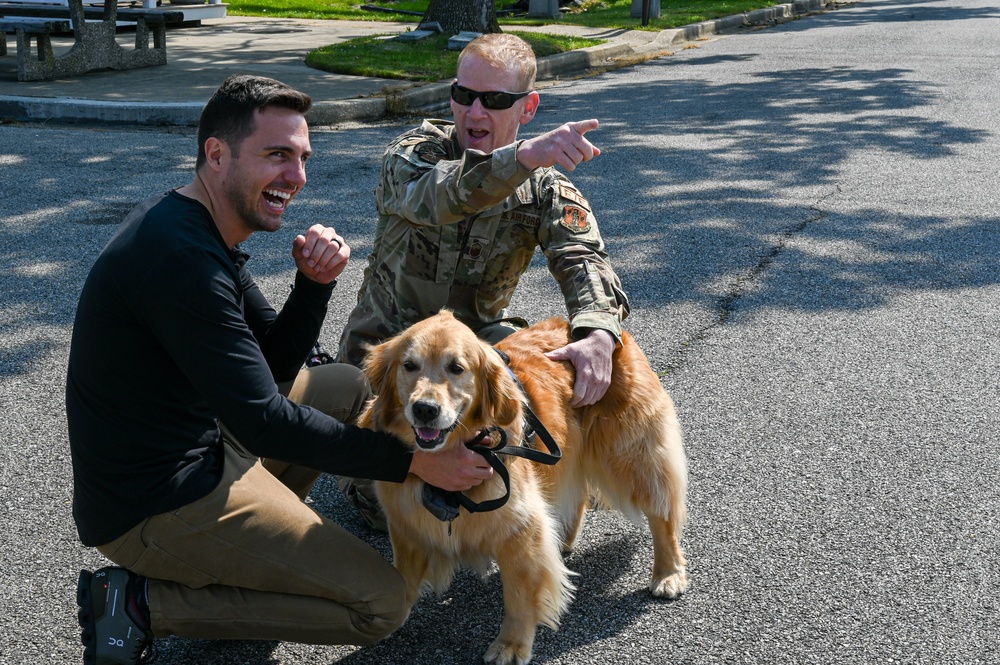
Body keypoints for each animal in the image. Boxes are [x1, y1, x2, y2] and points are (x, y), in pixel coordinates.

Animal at [360, 312, 688, 664]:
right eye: (409, 366)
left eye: (456, 368)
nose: (424, 409)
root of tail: (606, 332)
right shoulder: (406, 526)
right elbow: (403, 581)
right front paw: (389, 622)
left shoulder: (520, 528)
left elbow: (519, 594)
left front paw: (511, 644)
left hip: (631, 455)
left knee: (661, 513)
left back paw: (668, 573)